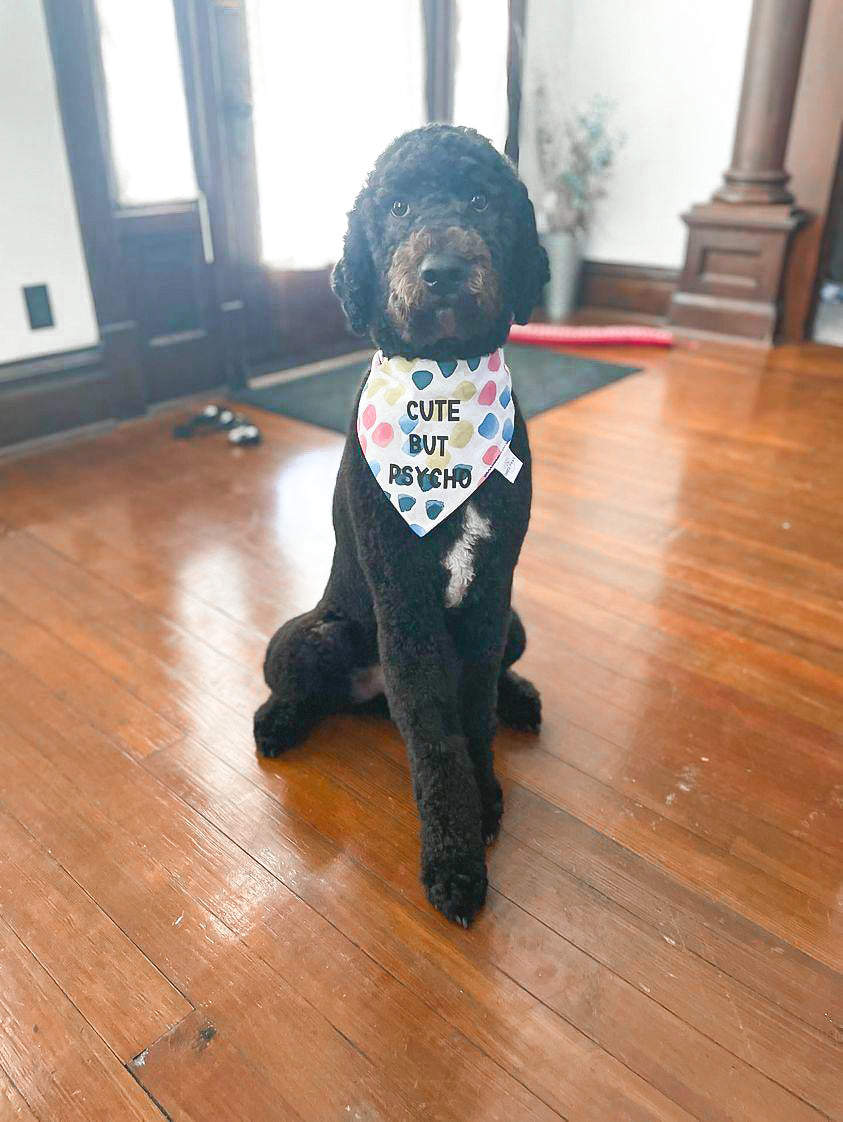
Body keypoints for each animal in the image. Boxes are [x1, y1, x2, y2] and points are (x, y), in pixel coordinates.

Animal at [253, 127, 550, 924]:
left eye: (480, 199)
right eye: (399, 207)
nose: (441, 273)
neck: (443, 385)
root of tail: (370, 698)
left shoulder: (490, 595)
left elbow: (471, 712)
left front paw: (484, 799)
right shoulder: (404, 600)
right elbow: (437, 738)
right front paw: (455, 863)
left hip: (514, 624)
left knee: (493, 678)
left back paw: (520, 699)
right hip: (305, 638)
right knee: (305, 692)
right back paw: (278, 724)